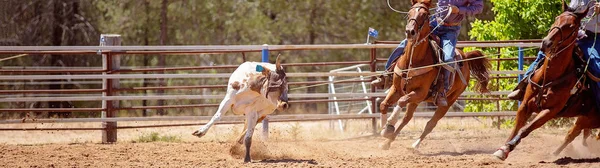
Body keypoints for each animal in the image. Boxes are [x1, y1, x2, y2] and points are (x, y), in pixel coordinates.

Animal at [380, 0, 492, 150]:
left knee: (430, 124)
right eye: (409, 13)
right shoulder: (397, 89)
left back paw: (414, 145)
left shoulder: (420, 92)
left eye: (425, 15)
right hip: (416, 100)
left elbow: (401, 101)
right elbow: (384, 104)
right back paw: (387, 142)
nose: (410, 31)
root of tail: (465, 57)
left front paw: (389, 125)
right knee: (406, 119)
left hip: (448, 101)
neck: (413, 61)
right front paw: (384, 128)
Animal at [494, 1, 596, 160]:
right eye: (557, 18)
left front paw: (508, 147)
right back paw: (555, 153)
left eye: (571, 26)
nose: (547, 42)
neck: (550, 77)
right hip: (585, 118)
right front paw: (503, 149)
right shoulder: (525, 105)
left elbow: (525, 129)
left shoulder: (549, 111)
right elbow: (516, 128)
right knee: (573, 133)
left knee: (573, 133)